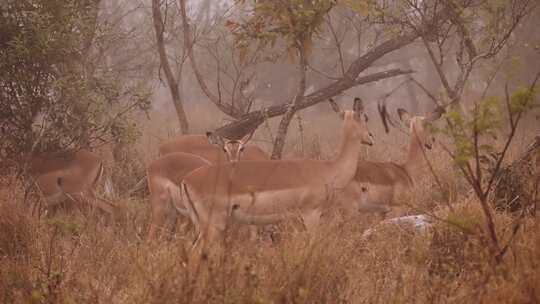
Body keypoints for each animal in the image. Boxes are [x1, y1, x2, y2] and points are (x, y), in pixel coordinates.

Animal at [179, 100, 374, 247]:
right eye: (365, 116)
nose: (371, 137)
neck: (328, 169)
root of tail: (186, 180)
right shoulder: (311, 214)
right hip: (212, 226)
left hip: (201, 226)